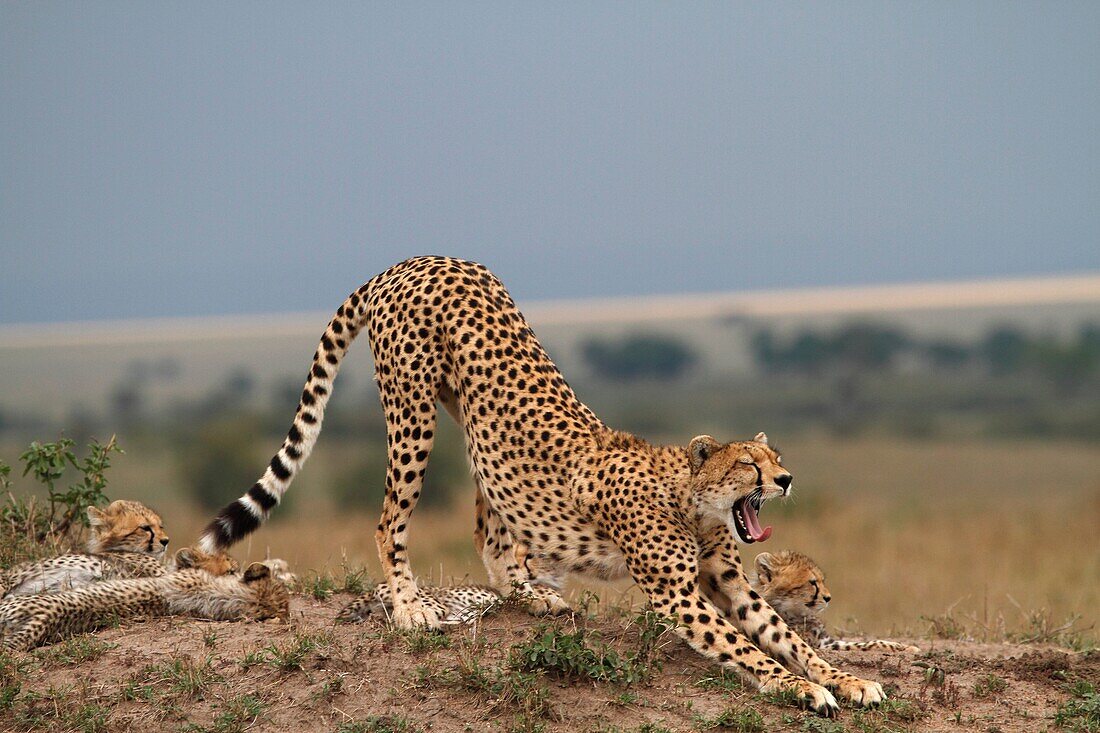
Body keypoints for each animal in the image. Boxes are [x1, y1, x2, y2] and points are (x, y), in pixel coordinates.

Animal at [200, 256, 884, 713]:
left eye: (775, 456)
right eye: (749, 465)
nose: (787, 479)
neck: (691, 501)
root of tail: (416, 259)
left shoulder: (727, 581)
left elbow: (783, 635)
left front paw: (846, 679)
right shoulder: (677, 595)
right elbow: (749, 649)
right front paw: (803, 689)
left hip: (474, 424)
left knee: (490, 522)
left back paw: (528, 595)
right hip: (414, 413)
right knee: (389, 518)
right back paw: (410, 606)